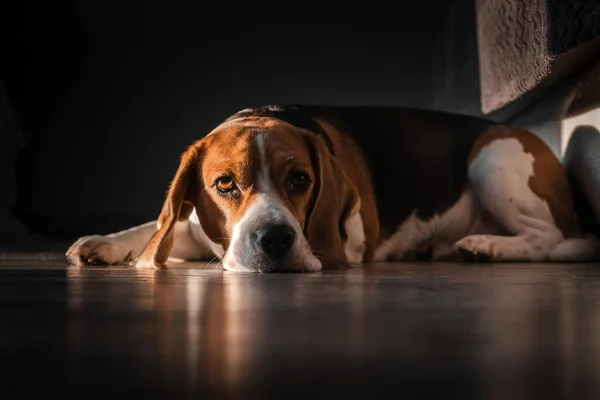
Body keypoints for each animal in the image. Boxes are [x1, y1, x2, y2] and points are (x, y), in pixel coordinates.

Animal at [65, 105, 600, 272]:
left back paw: (486, 245)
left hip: (492, 156)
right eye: (225, 184)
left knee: (551, 239)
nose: (275, 241)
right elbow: (159, 226)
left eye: (300, 179)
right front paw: (105, 243)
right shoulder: (198, 222)